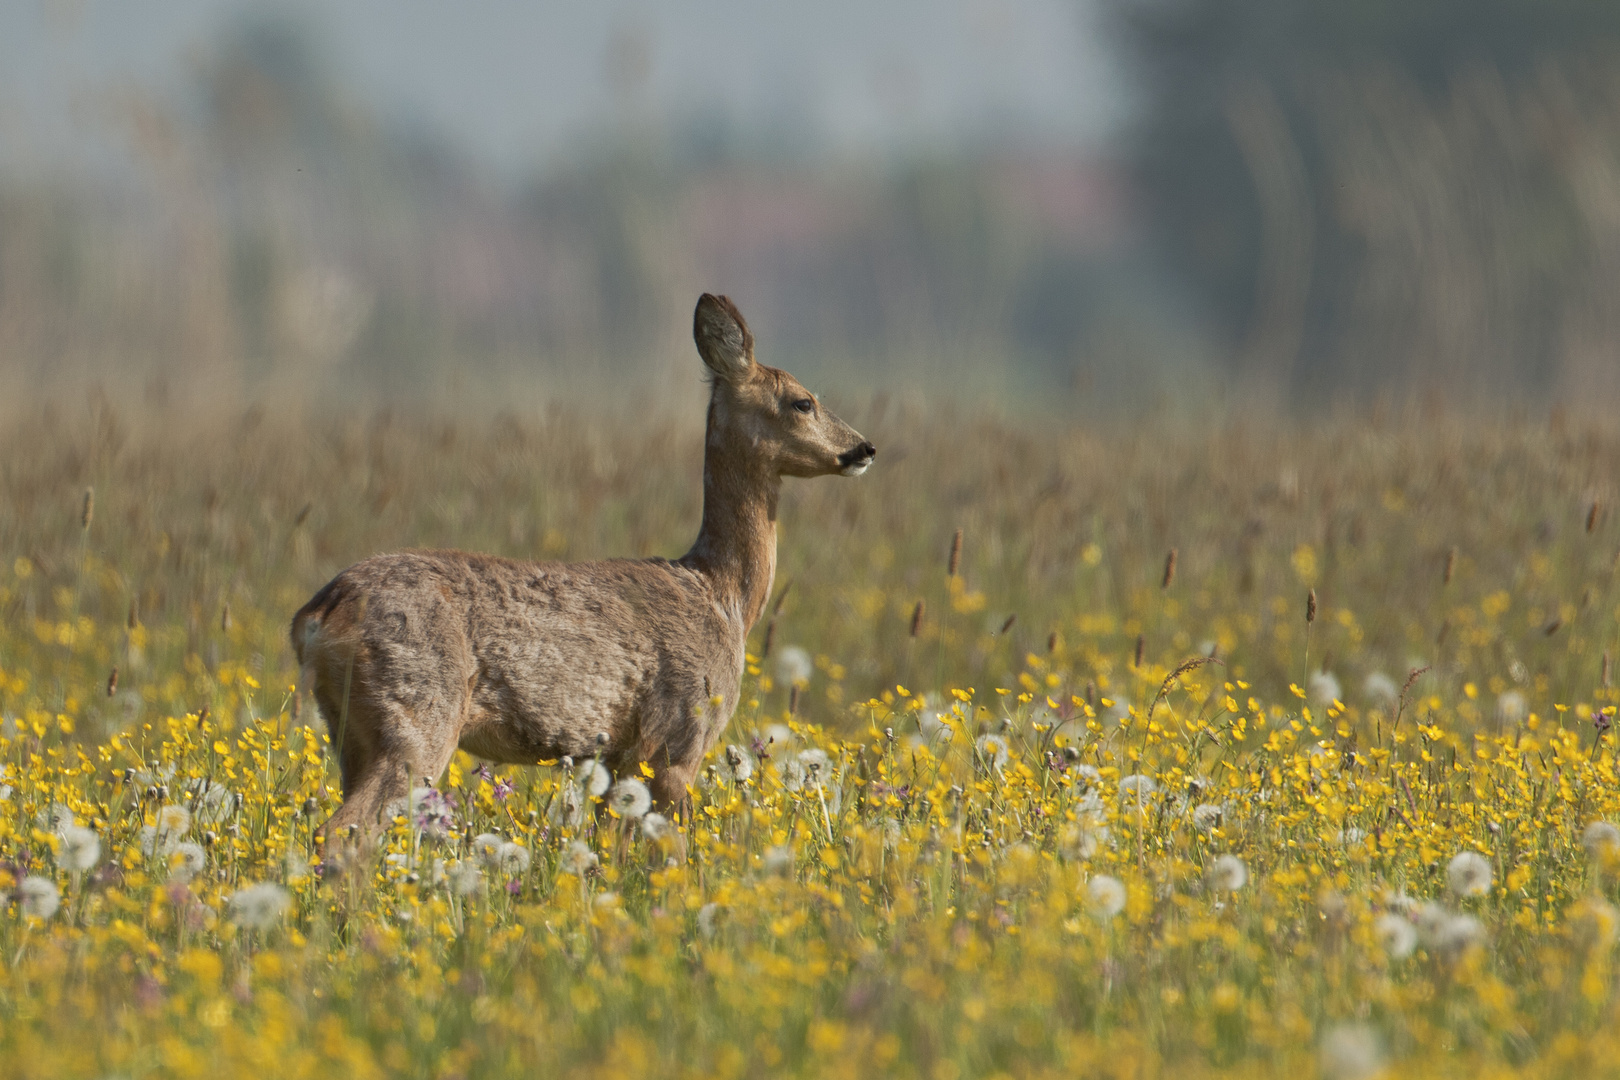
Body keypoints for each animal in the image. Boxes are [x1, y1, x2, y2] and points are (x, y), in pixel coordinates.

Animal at [291, 293, 874, 841]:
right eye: (803, 401)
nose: (863, 448)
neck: (722, 595)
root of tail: (318, 614)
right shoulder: (676, 737)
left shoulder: (619, 757)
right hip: (417, 715)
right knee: (341, 832)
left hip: (350, 731)